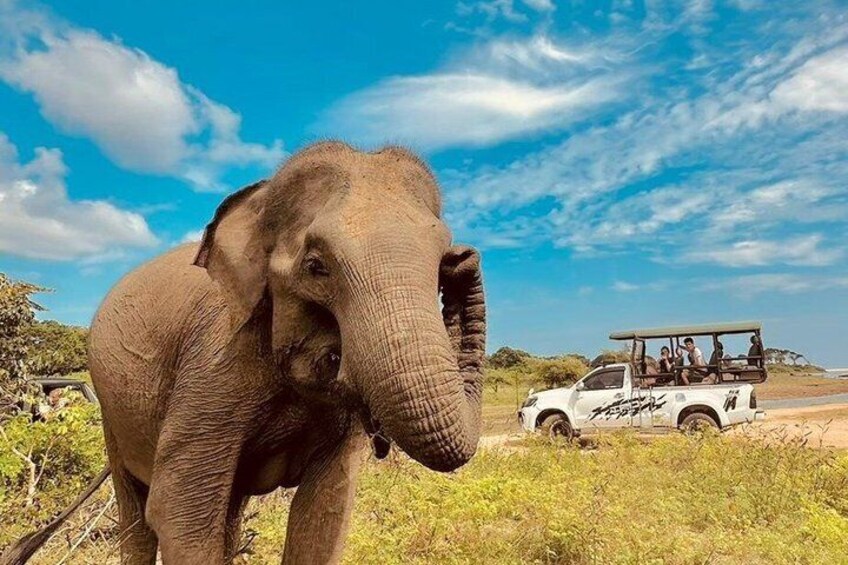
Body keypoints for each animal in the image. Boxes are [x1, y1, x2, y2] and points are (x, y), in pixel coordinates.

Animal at [2, 141, 486, 565]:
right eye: (316, 267)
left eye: (438, 263)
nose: (462, 258)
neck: (260, 205)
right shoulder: (213, 359)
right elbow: (177, 510)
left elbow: (325, 512)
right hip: (112, 414)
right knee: (137, 512)